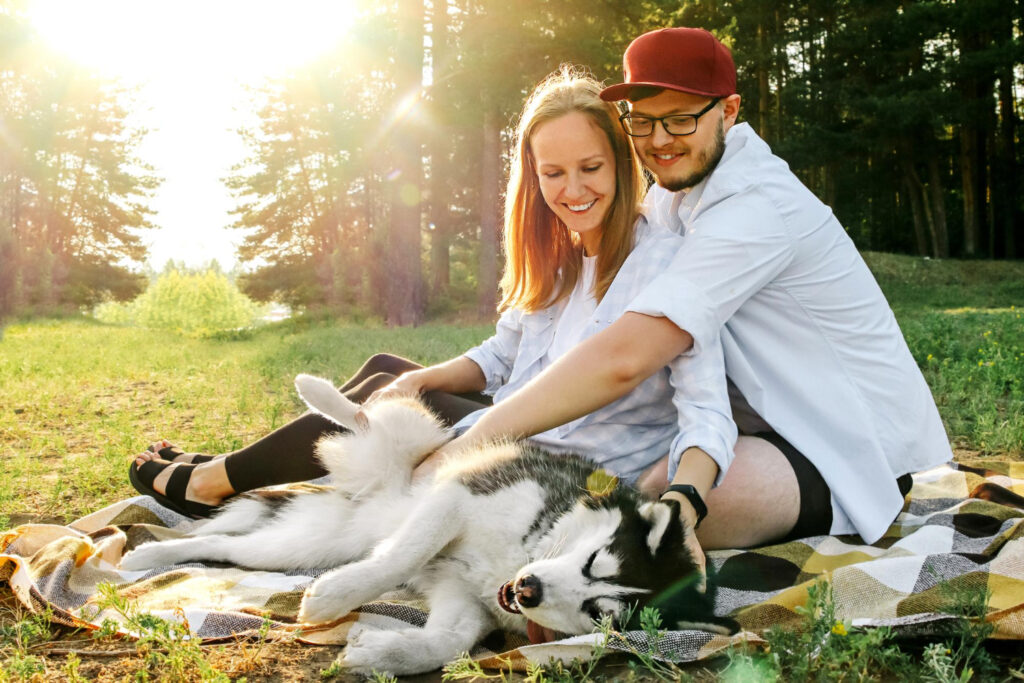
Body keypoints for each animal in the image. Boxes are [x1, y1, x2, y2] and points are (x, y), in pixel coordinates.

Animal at [121, 376, 729, 675]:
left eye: (599, 615)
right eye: (596, 559)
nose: (528, 590)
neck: (517, 558)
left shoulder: (466, 597)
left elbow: (450, 641)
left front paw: (380, 654)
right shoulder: (459, 495)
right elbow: (402, 555)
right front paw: (337, 598)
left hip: (302, 546)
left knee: (223, 546)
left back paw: (149, 554)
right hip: (400, 464)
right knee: (374, 417)